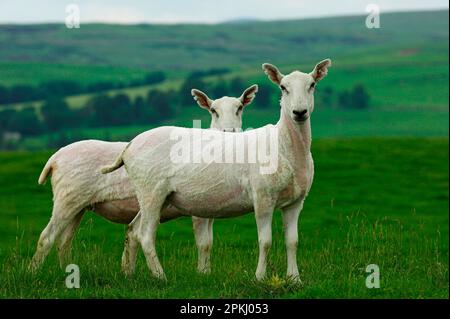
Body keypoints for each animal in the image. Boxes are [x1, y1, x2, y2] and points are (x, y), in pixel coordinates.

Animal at [29, 85, 258, 276]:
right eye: (213, 110)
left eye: (240, 108)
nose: (229, 132)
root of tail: (55, 157)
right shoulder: (199, 208)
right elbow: (204, 243)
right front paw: (203, 274)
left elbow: (208, 242)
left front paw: (205, 273)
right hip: (67, 199)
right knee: (47, 237)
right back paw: (33, 273)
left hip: (79, 205)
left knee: (64, 242)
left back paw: (66, 272)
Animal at [103, 60, 332, 282]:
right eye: (283, 88)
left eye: (312, 85)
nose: (299, 112)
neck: (286, 145)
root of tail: (130, 145)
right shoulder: (262, 197)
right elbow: (265, 241)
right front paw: (259, 278)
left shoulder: (295, 202)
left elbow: (292, 241)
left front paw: (294, 279)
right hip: (151, 190)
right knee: (145, 235)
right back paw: (160, 276)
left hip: (156, 195)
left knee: (132, 230)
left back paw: (129, 274)